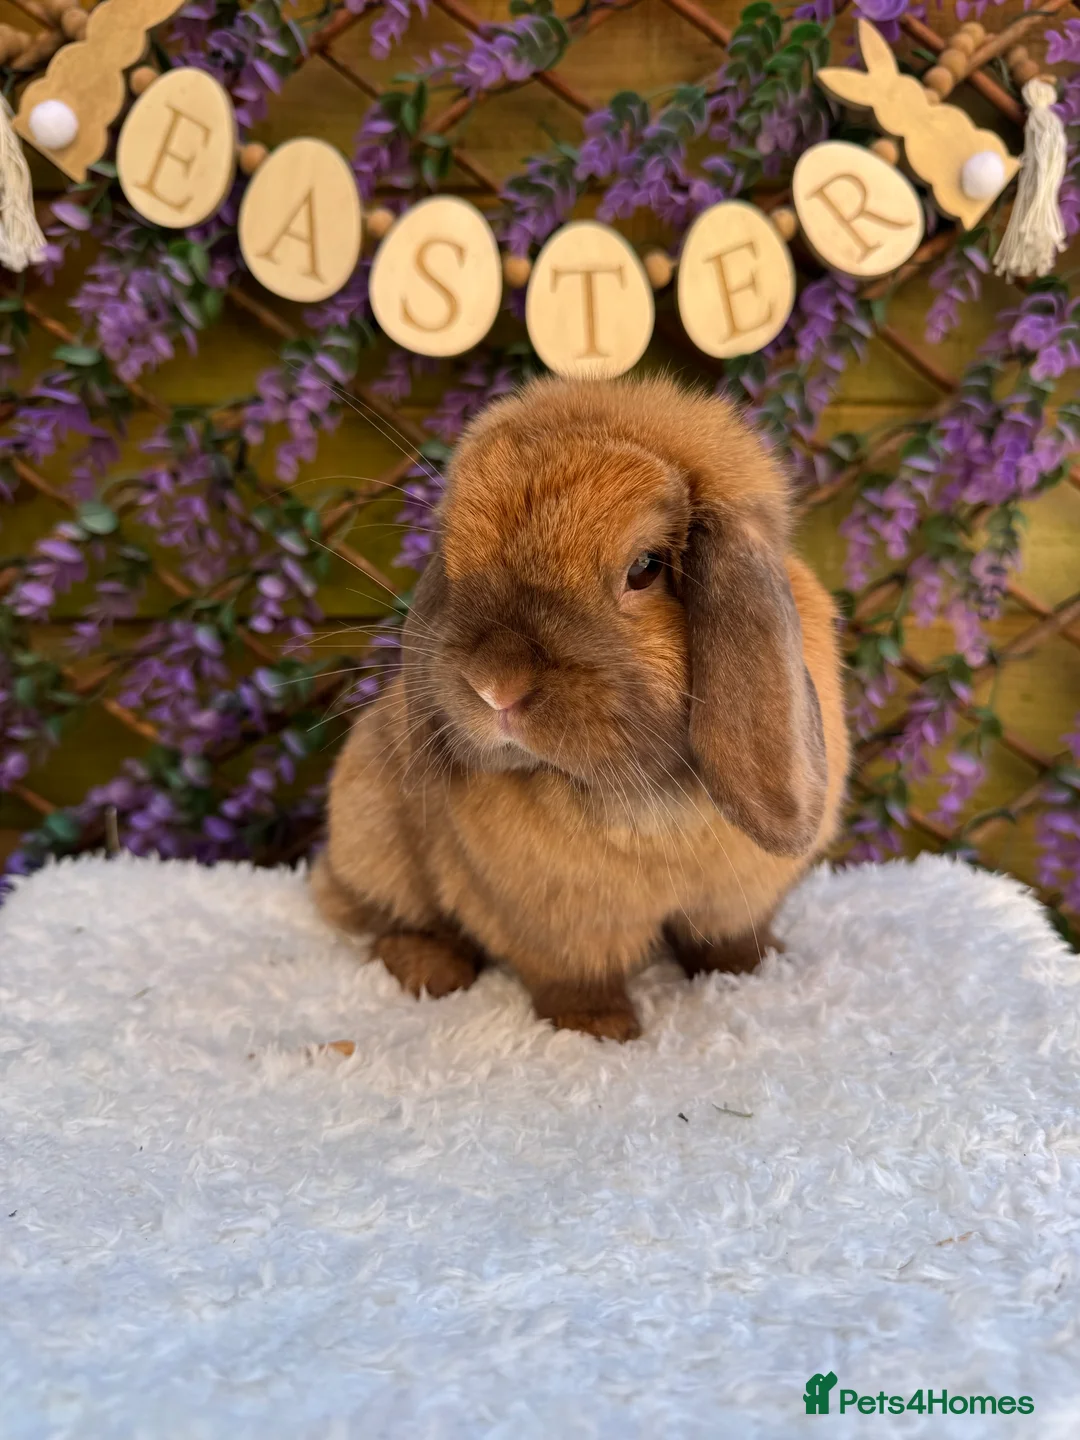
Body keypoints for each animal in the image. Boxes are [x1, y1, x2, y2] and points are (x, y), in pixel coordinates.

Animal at [311, 375, 850, 1041]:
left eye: (644, 568)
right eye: (453, 557)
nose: (495, 685)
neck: (646, 793)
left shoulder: (739, 896)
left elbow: (727, 940)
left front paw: (754, 970)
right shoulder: (558, 921)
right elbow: (575, 975)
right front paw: (599, 1030)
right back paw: (429, 969)